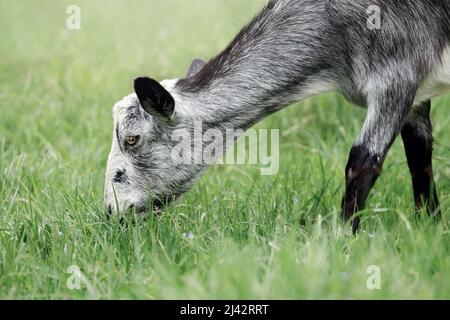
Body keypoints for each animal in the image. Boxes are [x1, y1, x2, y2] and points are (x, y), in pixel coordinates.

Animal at [103, 0, 450, 231]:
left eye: (132, 139)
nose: (111, 210)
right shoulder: (416, 93)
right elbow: (419, 155)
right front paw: (429, 228)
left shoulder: (397, 75)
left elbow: (362, 161)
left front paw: (343, 238)